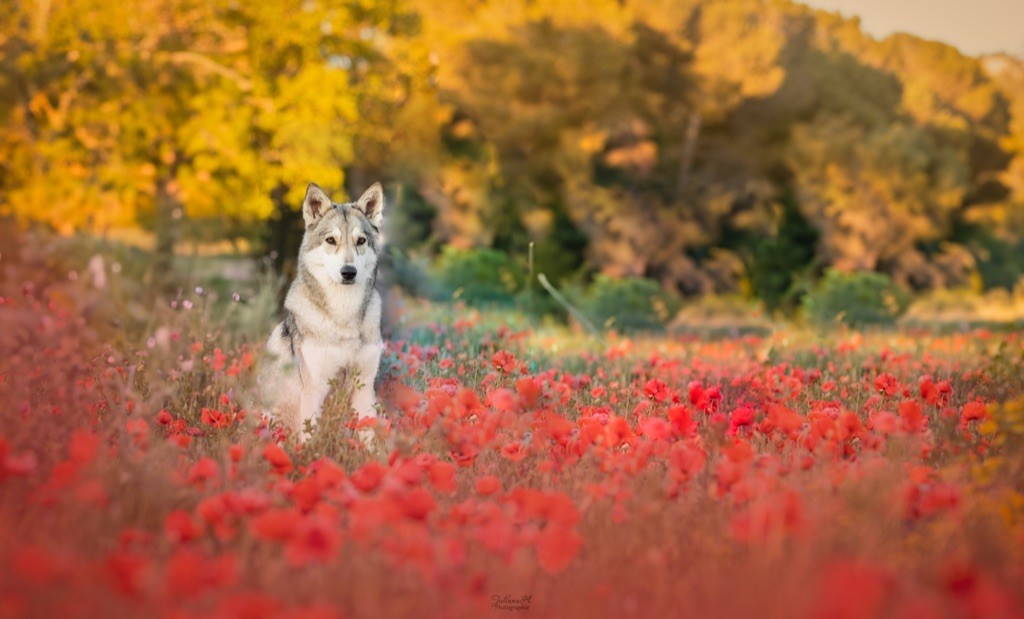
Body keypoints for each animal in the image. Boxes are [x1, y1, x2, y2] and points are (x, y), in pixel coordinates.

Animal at [262, 180, 385, 444]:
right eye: (330, 240)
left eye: (361, 241)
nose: (348, 272)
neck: (343, 315)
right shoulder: (314, 388)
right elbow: (310, 438)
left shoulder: (364, 386)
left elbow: (369, 438)